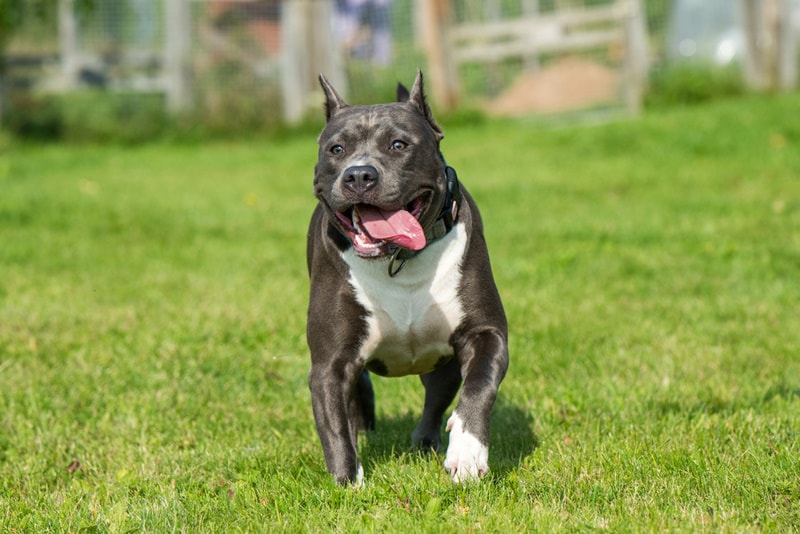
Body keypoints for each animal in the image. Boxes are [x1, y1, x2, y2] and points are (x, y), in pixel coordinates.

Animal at [306, 71, 506, 486]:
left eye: (399, 144)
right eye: (336, 149)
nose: (359, 174)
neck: (398, 261)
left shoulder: (486, 333)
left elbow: (479, 387)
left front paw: (467, 452)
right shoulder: (330, 363)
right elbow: (334, 426)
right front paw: (348, 484)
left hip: (442, 366)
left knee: (436, 399)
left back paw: (426, 441)